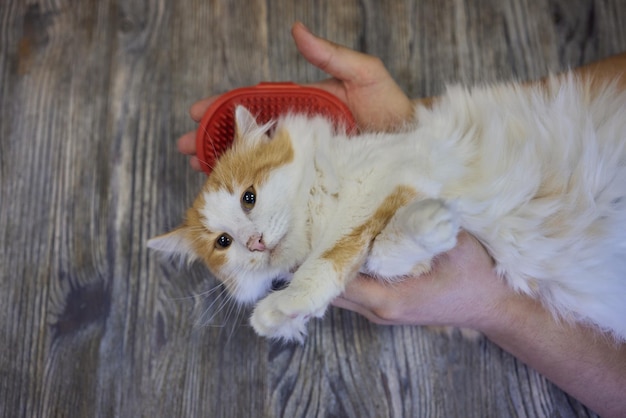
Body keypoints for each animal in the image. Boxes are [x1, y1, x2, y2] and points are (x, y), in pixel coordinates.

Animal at [150, 75, 624, 342]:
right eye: (223, 242)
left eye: (249, 197)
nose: (254, 242)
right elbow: (381, 255)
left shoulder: (394, 174)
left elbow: (335, 257)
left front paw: (280, 310)